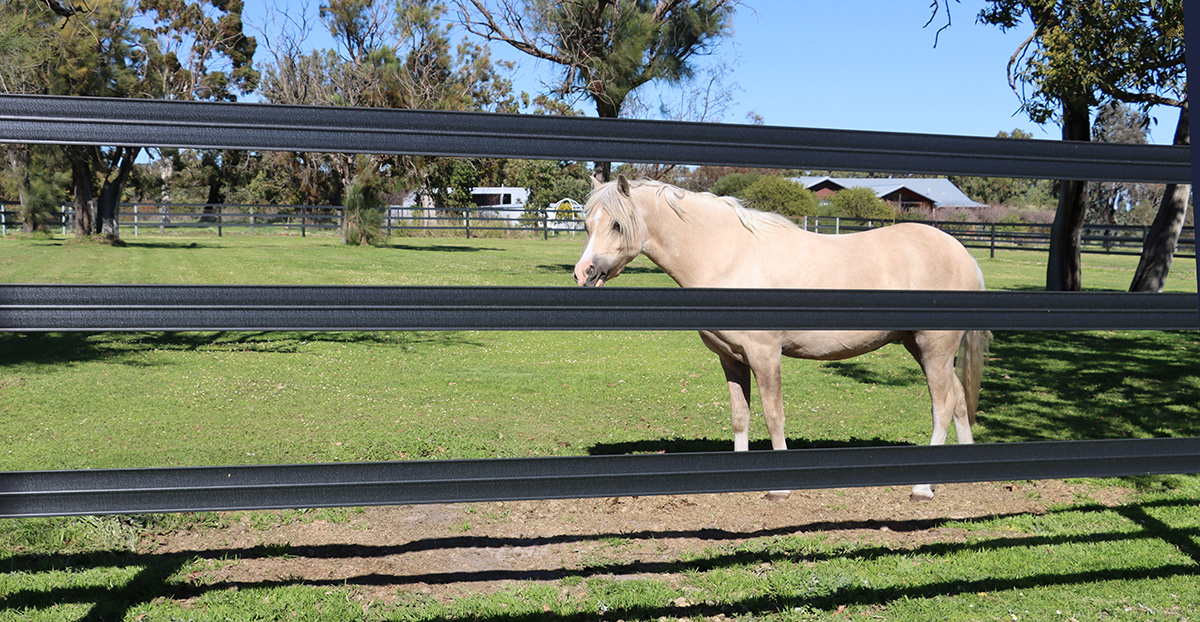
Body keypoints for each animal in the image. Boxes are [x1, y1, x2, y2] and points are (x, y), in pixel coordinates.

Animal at [572, 175, 990, 501]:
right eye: (588, 224)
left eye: (616, 225)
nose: (583, 273)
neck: (730, 257)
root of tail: (962, 254)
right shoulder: (732, 358)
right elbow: (740, 415)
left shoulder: (765, 354)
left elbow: (774, 416)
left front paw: (779, 488)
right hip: (921, 347)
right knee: (956, 400)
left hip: (934, 347)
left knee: (942, 404)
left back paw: (922, 487)